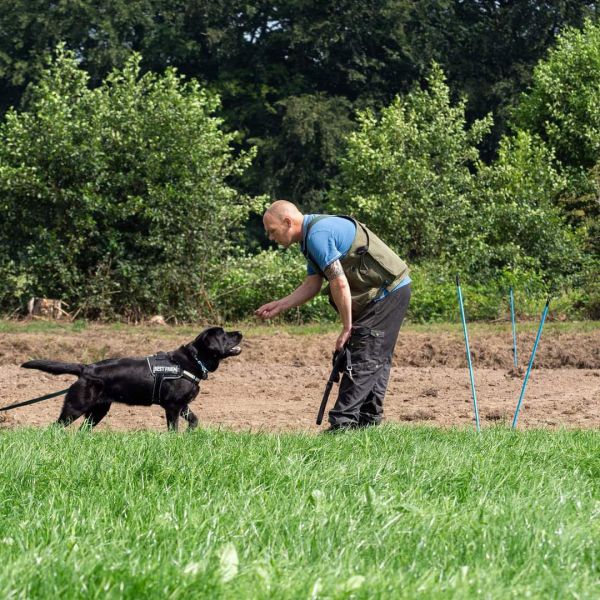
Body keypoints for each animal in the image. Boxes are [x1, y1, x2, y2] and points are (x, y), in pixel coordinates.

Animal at [21, 328, 241, 432]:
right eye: (224, 334)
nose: (239, 332)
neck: (193, 360)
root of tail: (86, 368)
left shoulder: (182, 405)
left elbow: (194, 420)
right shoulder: (172, 406)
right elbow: (173, 429)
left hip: (99, 410)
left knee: (83, 429)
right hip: (76, 406)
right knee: (56, 427)